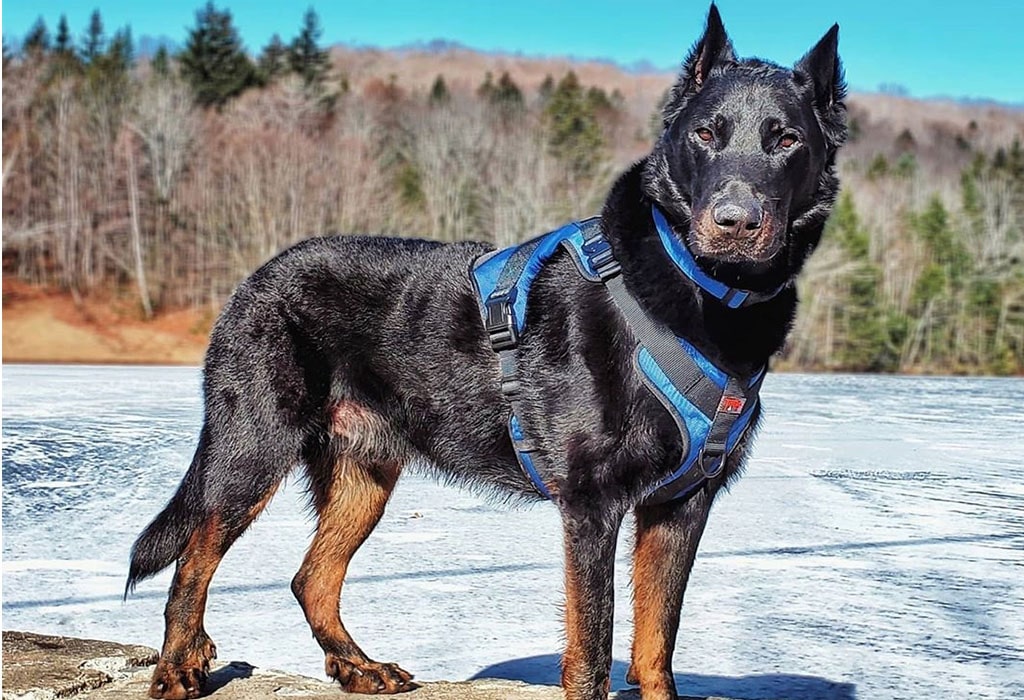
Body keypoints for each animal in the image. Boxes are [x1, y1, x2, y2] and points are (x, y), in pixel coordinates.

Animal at [130, 6, 847, 700]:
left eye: (786, 140)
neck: (706, 296)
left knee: (312, 578)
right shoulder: (592, 507)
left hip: (365, 473)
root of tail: (251, 281)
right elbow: (593, 655)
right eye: (706, 135)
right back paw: (179, 665)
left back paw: (359, 668)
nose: (735, 221)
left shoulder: (681, 508)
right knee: (194, 556)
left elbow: (654, 653)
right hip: (253, 450)